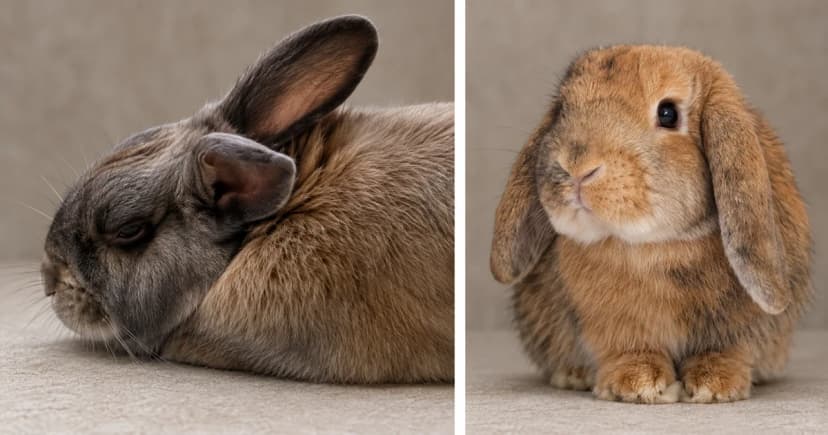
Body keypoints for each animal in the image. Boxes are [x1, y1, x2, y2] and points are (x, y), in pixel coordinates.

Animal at [490, 45, 811, 403]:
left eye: (668, 113)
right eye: (562, 109)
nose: (576, 167)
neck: (653, 246)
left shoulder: (738, 326)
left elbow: (726, 349)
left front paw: (715, 385)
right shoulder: (612, 326)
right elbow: (628, 348)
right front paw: (637, 383)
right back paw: (574, 376)